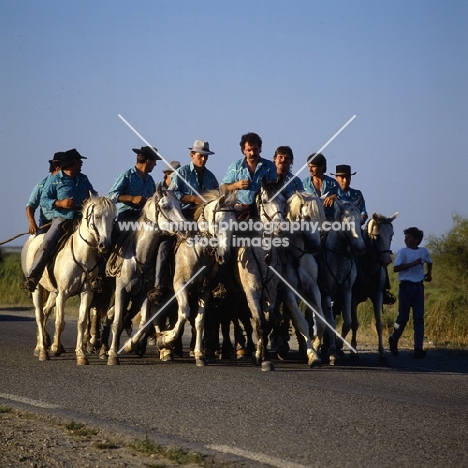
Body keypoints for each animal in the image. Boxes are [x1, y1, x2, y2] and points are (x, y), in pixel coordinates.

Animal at [21, 197, 117, 366]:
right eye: (97, 216)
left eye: (113, 219)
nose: (105, 245)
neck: (82, 255)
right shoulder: (63, 293)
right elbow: (60, 322)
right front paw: (55, 348)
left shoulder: (87, 292)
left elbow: (82, 322)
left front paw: (80, 355)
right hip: (38, 289)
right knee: (39, 315)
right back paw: (42, 351)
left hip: (53, 293)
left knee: (45, 312)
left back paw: (41, 345)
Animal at [106, 188, 186, 368]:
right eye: (165, 206)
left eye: (180, 205)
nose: (185, 228)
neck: (140, 256)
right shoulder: (121, 291)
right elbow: (117, 322)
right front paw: (113, 355)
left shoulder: (144, 295)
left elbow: (144, 323)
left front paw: (130, 345)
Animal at [156, 189, 238, 366]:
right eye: (218, 222)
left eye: (235, 224)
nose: (224, 256)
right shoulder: (180, 286)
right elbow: (184, 313)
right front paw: (165, 340)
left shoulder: (205, 290)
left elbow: (199, 320)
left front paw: (200, 354)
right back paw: (163, 349)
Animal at [322, 199, 366, 364]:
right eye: (346, 223)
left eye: (360, 221)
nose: (360, 248)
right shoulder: (326, 294)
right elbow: (331, 323)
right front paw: (333, 353)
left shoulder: (347, 292)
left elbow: (347, 322)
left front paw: (339, 346)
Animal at [352, 212, 398, 362]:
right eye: (377, 236)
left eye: (391, 235)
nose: (386, 260)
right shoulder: (352, 298)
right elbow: (354, 324)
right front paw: (354, 352)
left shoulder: (378, 295)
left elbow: (379, 324)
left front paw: (382, 354)